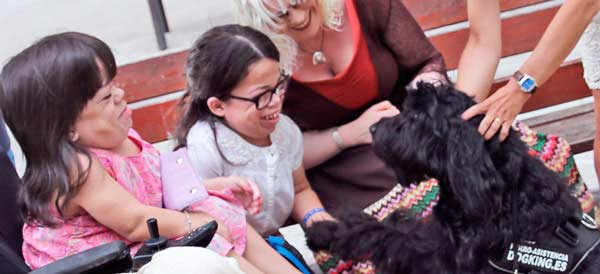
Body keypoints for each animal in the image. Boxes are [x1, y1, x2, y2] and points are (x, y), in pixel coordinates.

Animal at [308, 84, 596, 274]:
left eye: (416, 116)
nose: (372, 128)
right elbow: (392, 225)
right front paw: (328, 230)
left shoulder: (437, 259)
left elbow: (387, 234)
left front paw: (325, 232)